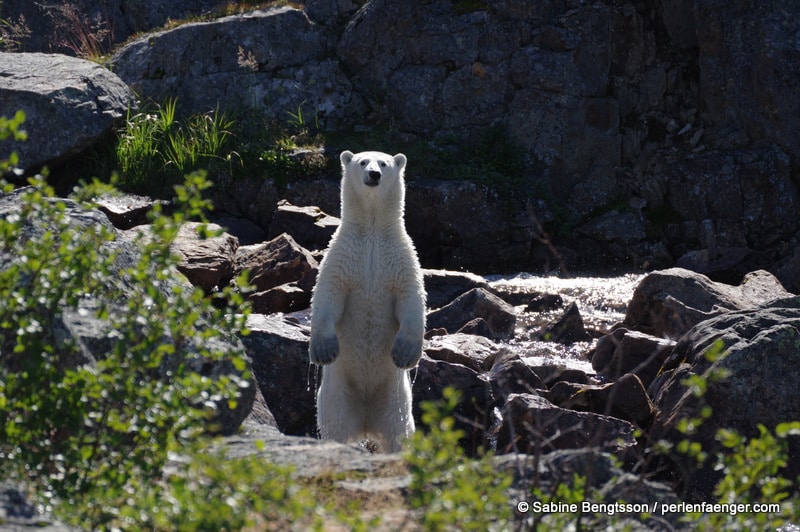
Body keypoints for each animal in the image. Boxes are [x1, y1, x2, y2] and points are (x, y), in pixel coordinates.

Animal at [310, 150, 428, 454]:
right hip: (335, 394)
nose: (374, 174)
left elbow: (412, 298)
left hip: (396, 398)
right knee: (336, 428)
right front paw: (324, 349)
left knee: (399, 432)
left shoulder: (400, 258)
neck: (372, 233)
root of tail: (365, 422)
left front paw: (405, 353)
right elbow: (327, 294)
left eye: (383, 163)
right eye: (363, 162)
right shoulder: (343, 257)